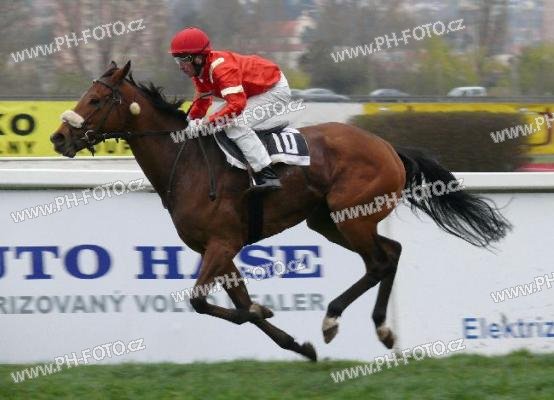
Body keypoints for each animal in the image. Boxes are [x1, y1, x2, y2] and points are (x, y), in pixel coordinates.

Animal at [51, 61, 511, 361]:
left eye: (95, 99)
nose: (58, 138)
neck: (189, 163)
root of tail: (387, 146)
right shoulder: (218, 249)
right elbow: (240, 304)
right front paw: (296, 344)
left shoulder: (222, 243)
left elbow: (205, 302)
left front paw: (266, 311)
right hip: (329, 220)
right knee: (390, 253)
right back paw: (379, 328)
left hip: (351, 214)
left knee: (380, 261)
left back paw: (334, 319)